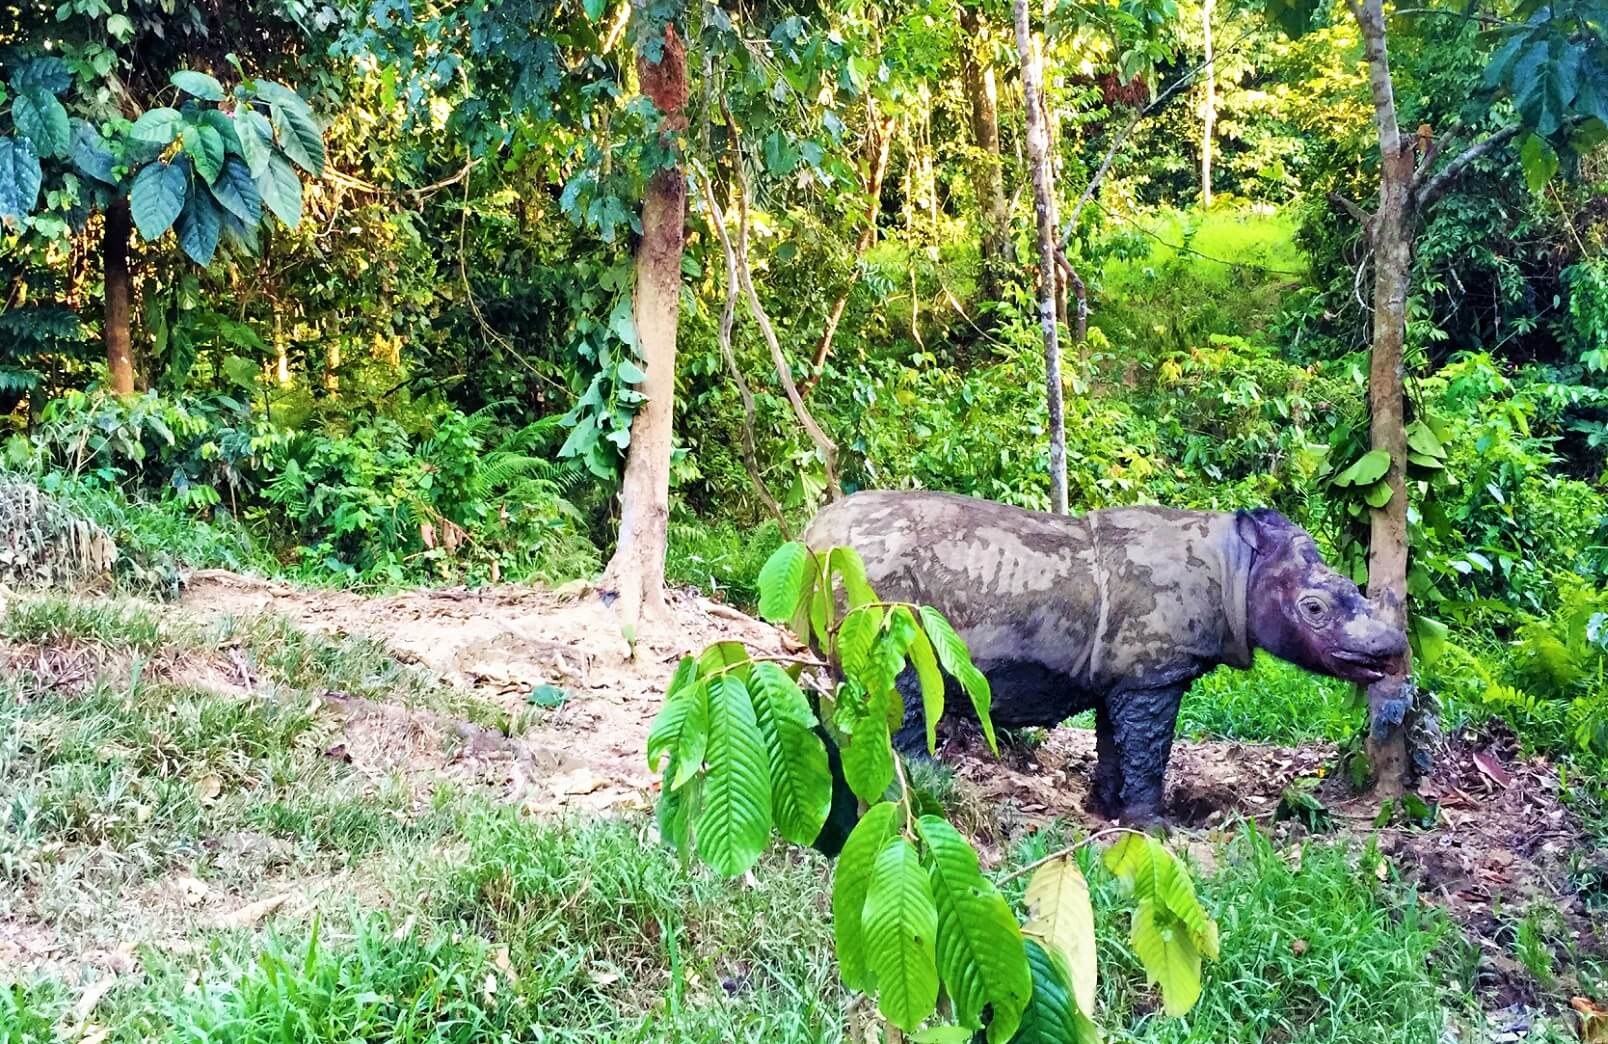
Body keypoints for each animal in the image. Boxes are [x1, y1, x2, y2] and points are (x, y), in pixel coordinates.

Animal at [804, 489, 1408, 823]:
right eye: (1314, 609)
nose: (1393, 650)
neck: (1239, 565)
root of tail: (811, 535)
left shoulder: (1127, 673)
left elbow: (1119, 742)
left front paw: (1106, 811)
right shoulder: (1156, 672)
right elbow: (1150, 746)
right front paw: (1156, 828)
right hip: (877, 583)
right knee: (900, 678)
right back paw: (931, 785)